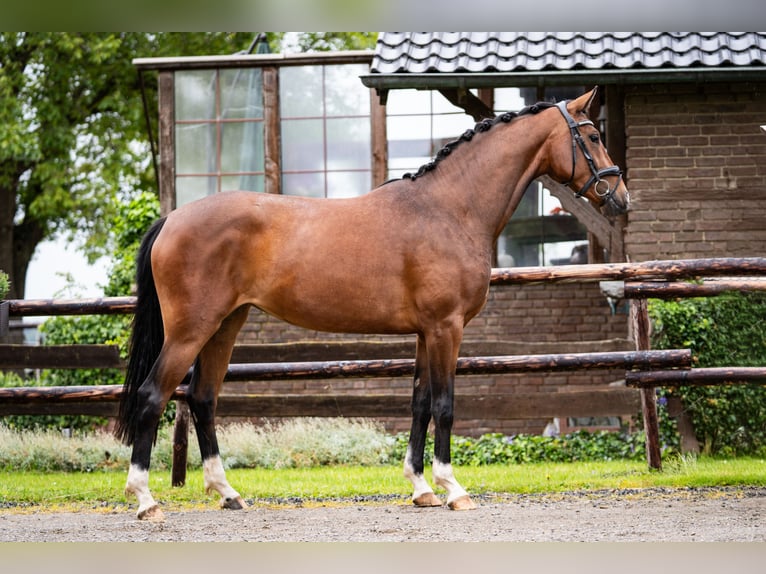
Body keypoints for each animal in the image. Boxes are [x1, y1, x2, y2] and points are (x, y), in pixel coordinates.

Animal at [114, 85, 632, 520]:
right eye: (591, 135)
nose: (621, 198)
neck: (449, 208)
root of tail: (173, 218)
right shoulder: (447, 328)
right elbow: (445, 404)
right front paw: (454, 489)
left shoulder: (426, 333)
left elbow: (420, 404)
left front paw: (421, 489)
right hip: (191, 330)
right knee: (153, 395)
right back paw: (145, 501)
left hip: (226, 325)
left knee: (202, 398)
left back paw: (228, 494)